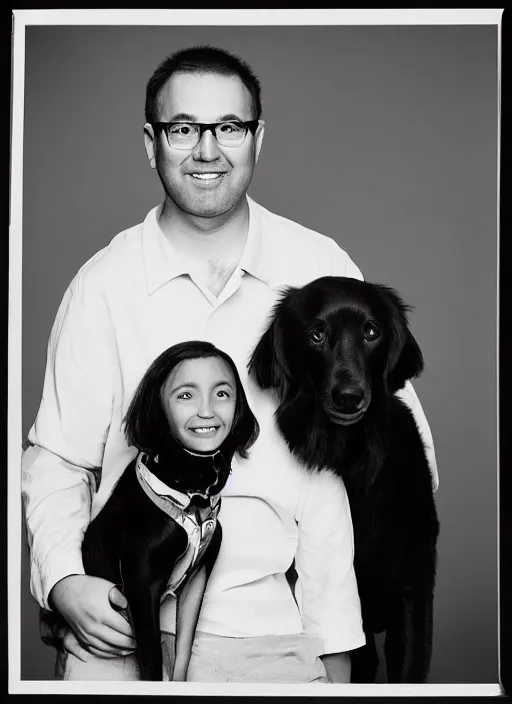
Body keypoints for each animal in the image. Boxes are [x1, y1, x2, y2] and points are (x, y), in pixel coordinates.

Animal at [40, 340, 258, 680]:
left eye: (221, 393)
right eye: (185, 395)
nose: (206, 415)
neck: (191, 494)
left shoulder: (197, 578)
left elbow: (182, 651)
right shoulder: (141, 584)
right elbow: (153, 662)